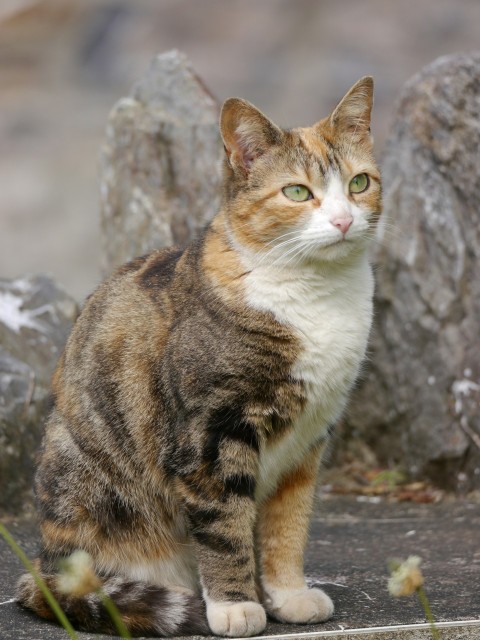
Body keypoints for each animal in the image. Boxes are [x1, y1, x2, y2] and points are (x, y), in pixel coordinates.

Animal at [16, 77, 380, 636]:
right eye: (298, 192)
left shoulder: (308, 440)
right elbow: (226, 526)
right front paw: (235, 605)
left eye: (360, 183)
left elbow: (288, 525)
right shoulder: (211, 433)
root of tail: (45, 567)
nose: (343, 220)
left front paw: (288, 595)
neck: (317, 295)